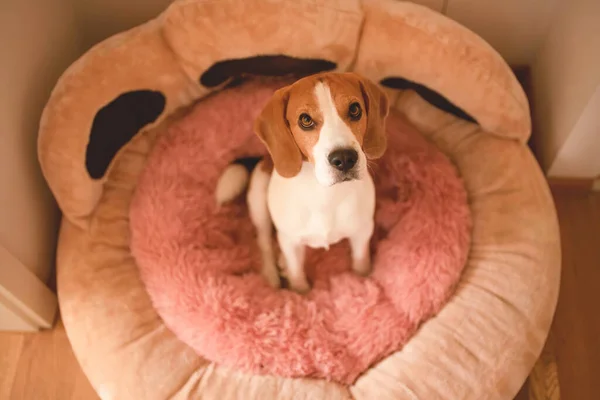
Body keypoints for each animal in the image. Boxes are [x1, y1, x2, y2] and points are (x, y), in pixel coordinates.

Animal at [216, 72, 390, 292]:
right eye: (305, 120)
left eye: (354, 109)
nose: (345, 159)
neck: (325, 194)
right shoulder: (291, 242)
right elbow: (297, 272)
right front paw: (300, 293)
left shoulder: (362, 232)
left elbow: (360, 261)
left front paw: (363, 278)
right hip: (259, 201)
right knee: (264, 242)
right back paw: (272, 276)